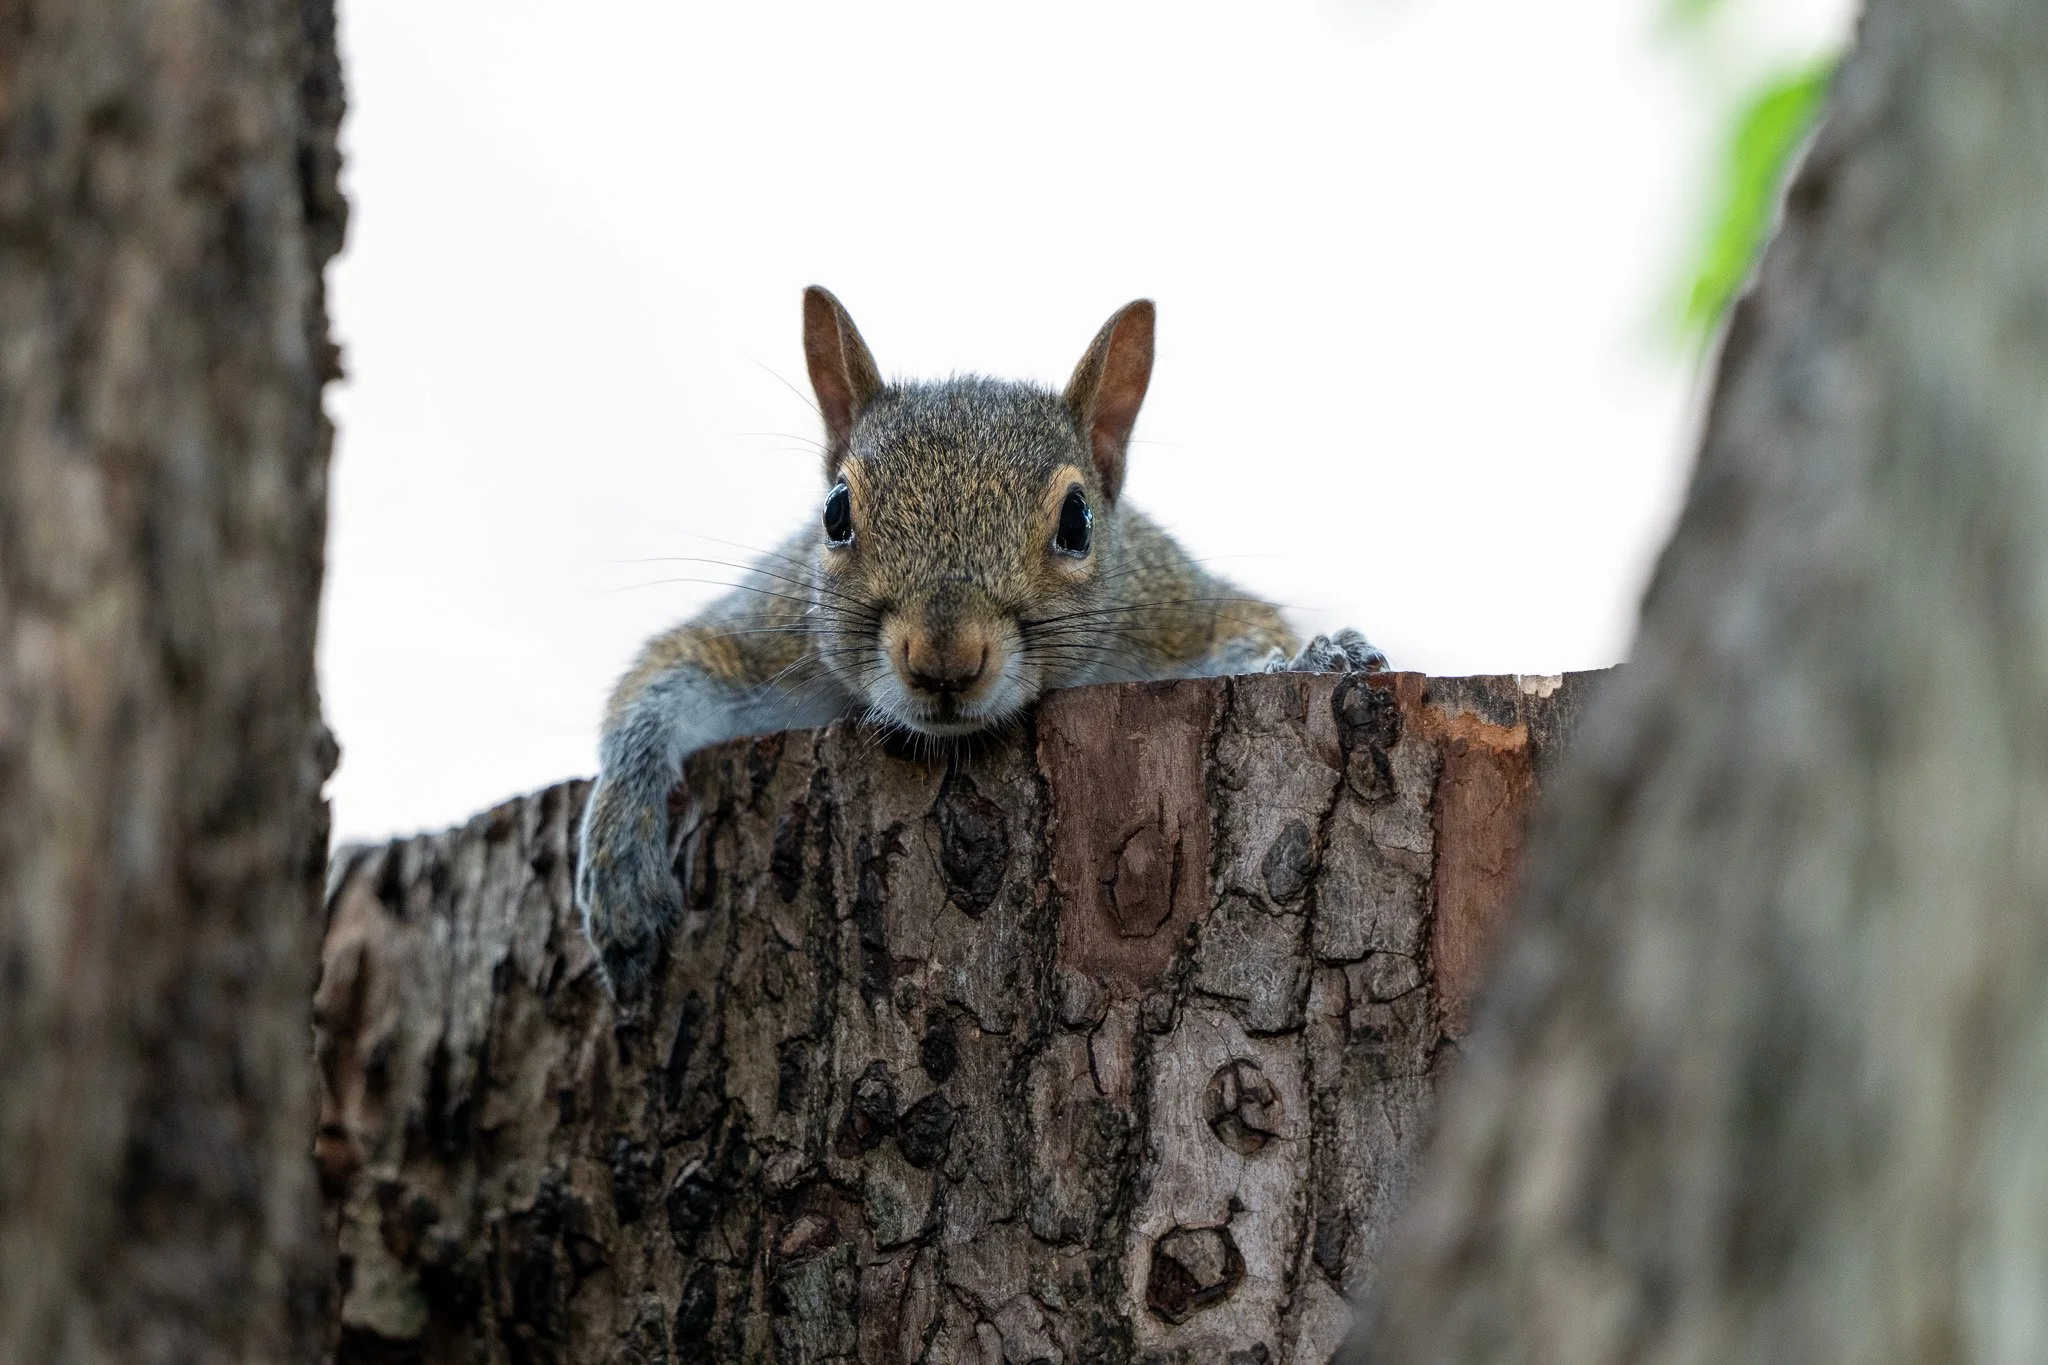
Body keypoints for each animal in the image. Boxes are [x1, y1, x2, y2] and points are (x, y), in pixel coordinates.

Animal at [577, 287, 1387, 993]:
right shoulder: (770, 638)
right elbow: (669, 672)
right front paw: (620, 856)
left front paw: (1314, 656)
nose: (945, 659)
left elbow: (1245, 628)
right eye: (835, 513)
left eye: (1078, 521)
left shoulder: (1170, 614)